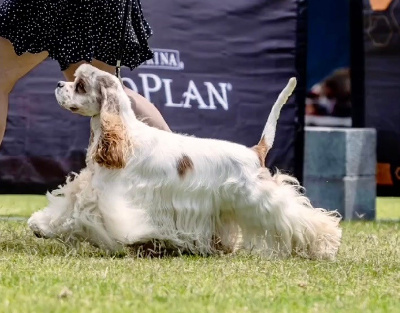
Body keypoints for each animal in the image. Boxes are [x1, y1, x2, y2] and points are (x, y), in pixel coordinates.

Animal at [27, 63, 340, 258]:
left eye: (80, 85)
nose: (59, 83)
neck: (123, 134)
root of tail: (255, 151)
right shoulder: (93, 188)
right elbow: (67, 207)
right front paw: (40, 225)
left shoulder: (108, 196)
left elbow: (83, 214)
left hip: (260, 200)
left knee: (303, 219)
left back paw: (325, 245)